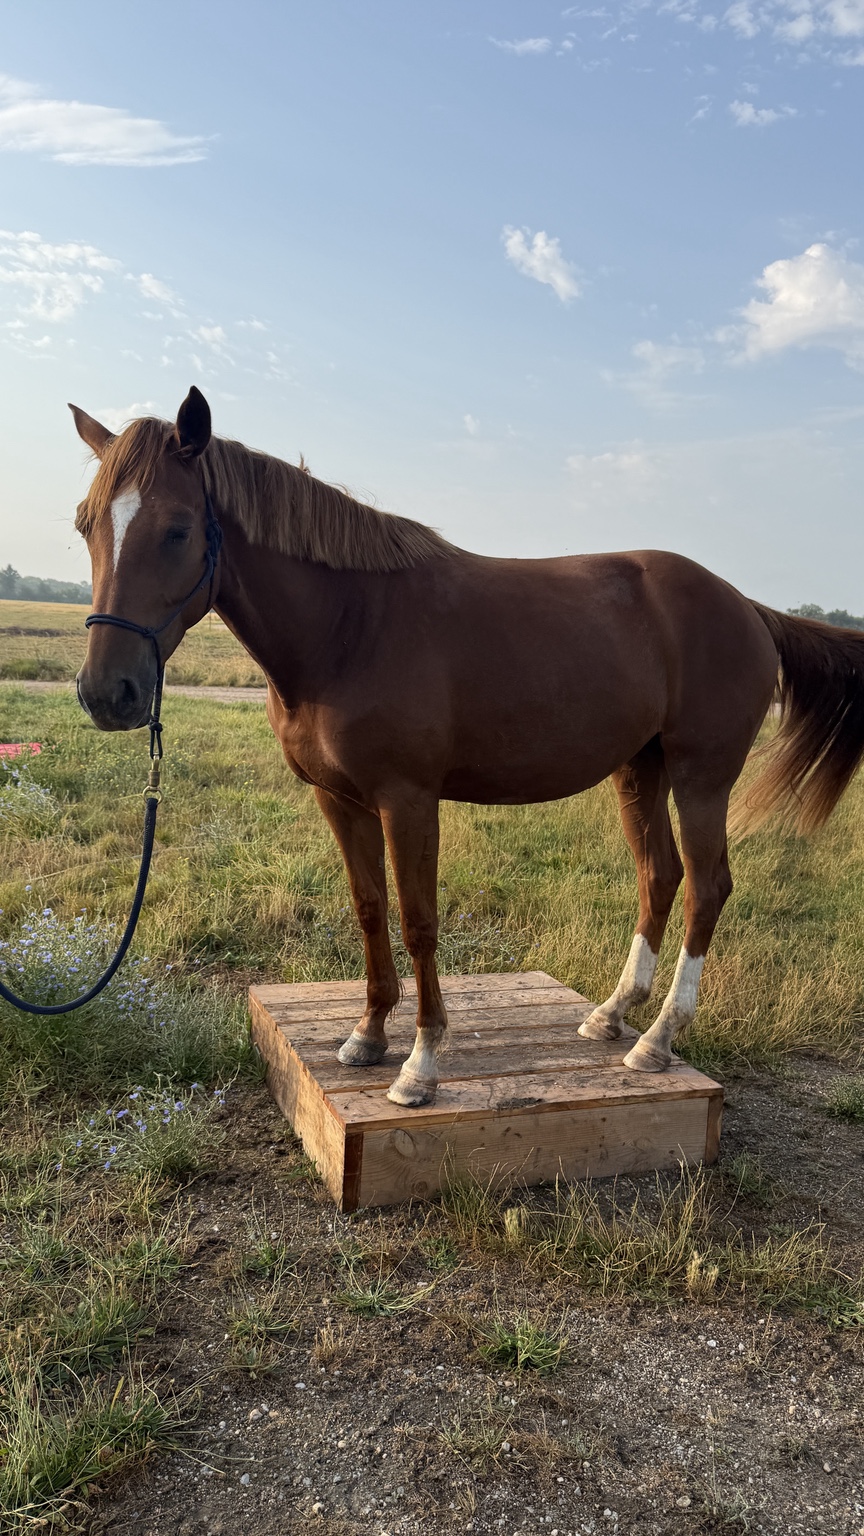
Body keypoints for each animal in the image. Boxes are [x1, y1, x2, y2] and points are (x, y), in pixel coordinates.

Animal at [71, 386, 864, 1108]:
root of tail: (749, 607)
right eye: (84, 524)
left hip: (703, 777)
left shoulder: (408, 801)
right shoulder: (339, 800)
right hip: (641, 770)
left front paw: (421, 1065)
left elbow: (419, 921)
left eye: (178, 529)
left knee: (707, 886)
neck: (350, 627)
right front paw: (367, 1036)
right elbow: (369, 908)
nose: (108, 692)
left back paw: (657, 1039)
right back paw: (612, 1015)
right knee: (659, 876)